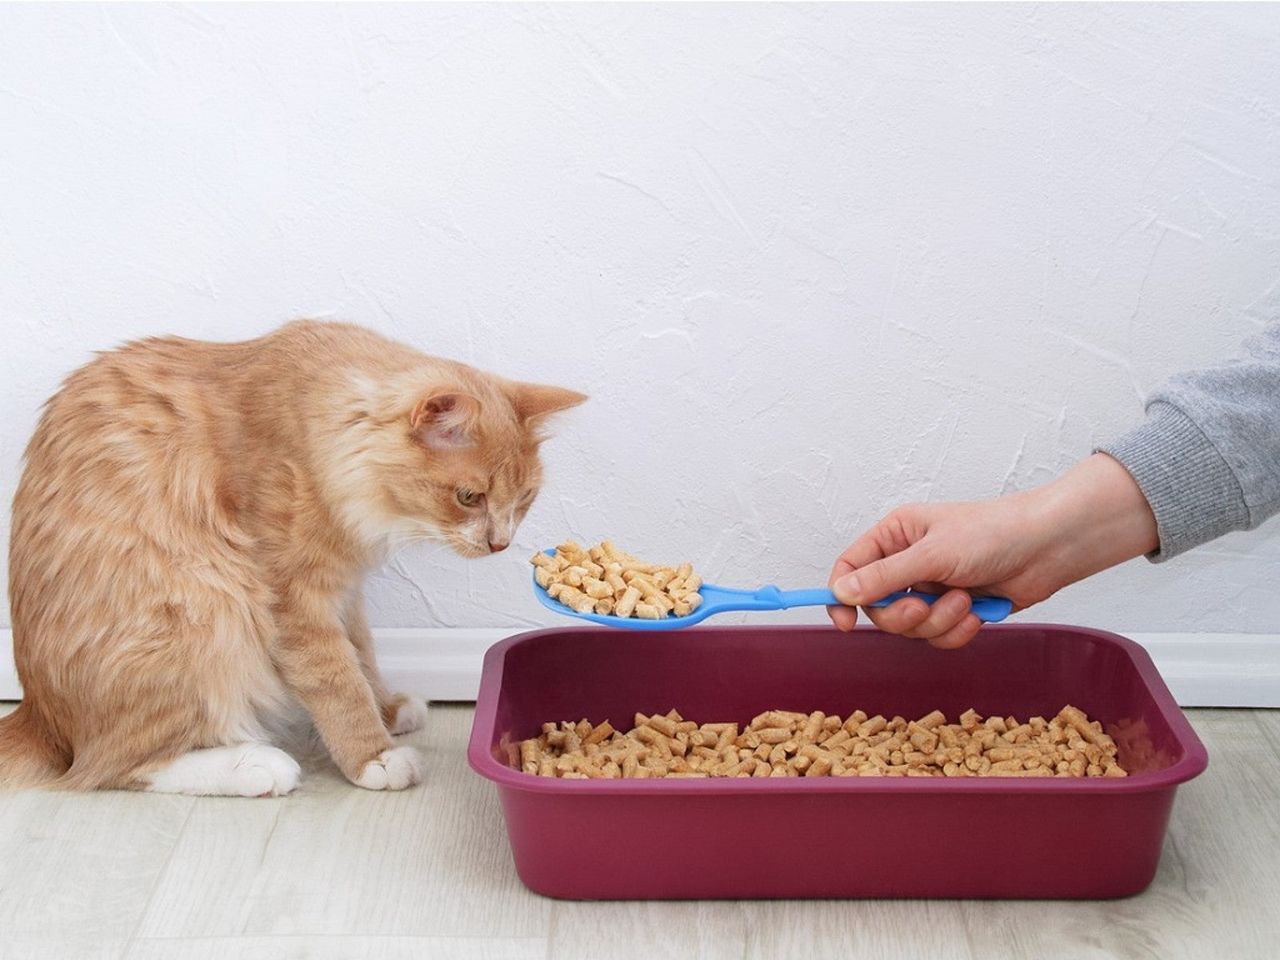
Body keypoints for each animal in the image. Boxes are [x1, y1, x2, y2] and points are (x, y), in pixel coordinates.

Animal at [1, 321, 586, 798]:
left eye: (524, 499)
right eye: (469, 497)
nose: (500, 544)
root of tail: (41, 715)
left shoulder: (345, 591)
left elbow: (362, 654)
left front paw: (387, 709)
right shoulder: (290, 595)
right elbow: (336, 680)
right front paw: (374, 757)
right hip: (202, 609)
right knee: (116, 767)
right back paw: (256, 767)